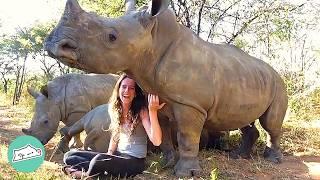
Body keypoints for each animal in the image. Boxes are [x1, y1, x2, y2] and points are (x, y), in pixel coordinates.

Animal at [44, 0, 288, 176]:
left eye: (112, 37)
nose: (54, 44)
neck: (153, 40)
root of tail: (274, 71)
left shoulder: (190, 104)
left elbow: (186, 136)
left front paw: (185, 173)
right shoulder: (156, 98)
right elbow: (164, 137)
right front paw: (165, 163)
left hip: (278, 83)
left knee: (271, 123)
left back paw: (273, 159)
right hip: (246, 79)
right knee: (242, 119)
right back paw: (239, 156)